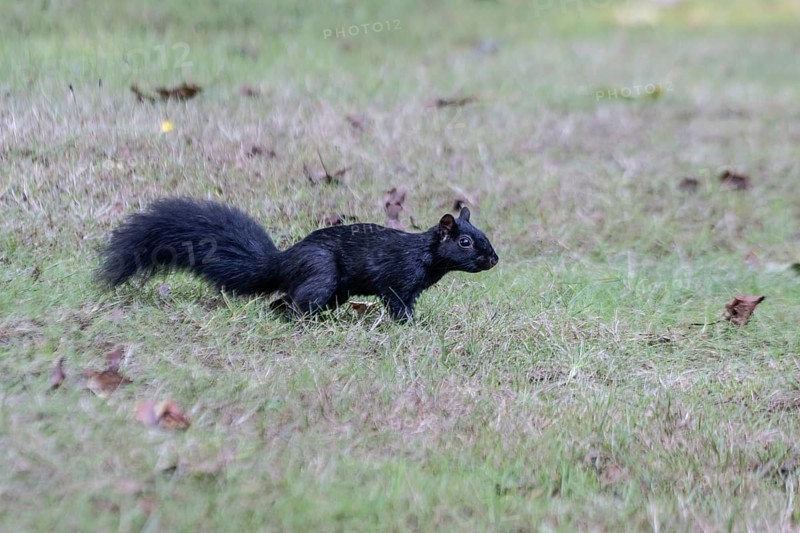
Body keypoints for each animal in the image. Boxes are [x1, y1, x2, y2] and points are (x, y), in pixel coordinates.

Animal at [98, 197, 499, 321]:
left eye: (484, 236)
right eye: (465, 242)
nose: (493, 260)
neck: (426, 255)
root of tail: (281, 262)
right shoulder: (400, 282)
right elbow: (398, 307)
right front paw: (412, 327)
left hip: (334, 289)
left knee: (281, 301)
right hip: (322, 275)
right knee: (293, 305)